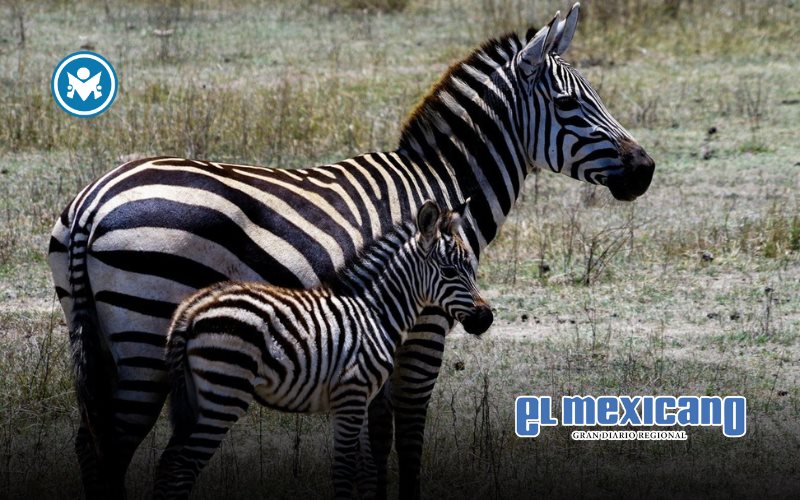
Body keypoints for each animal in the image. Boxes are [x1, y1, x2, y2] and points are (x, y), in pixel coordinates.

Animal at [153, 200, 490, 499]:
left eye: (471, 268)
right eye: (449, 272)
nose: (486, 318)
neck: (375, 312)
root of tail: (191, 310)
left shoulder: (360, 400)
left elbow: (364, 471)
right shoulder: (352, 394)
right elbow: (343, 470)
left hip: (197, 395)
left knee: (169, 463)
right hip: (225, 393)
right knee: (184, 466)